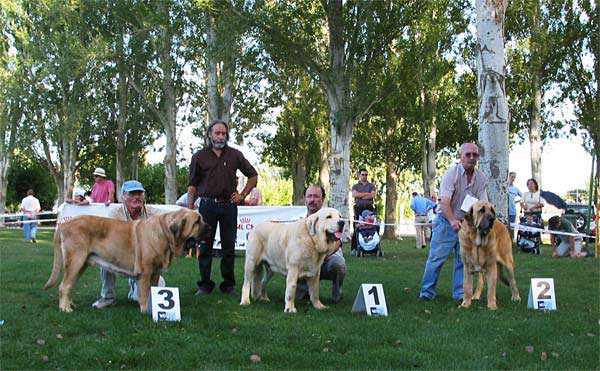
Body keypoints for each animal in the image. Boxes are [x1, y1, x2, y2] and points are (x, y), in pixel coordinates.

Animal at [44, 209, 206, 314]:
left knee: (69, 285)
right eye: (197, 222)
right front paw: (145, 311)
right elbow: (144, 294)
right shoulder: (145, 272)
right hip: (76, 260)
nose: (209, 227)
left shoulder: (155, 274)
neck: (165, 234)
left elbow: (152, 292)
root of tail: (63, 225)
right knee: (64, 286)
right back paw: (65, 308)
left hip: (80, 264)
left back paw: (70, 304)